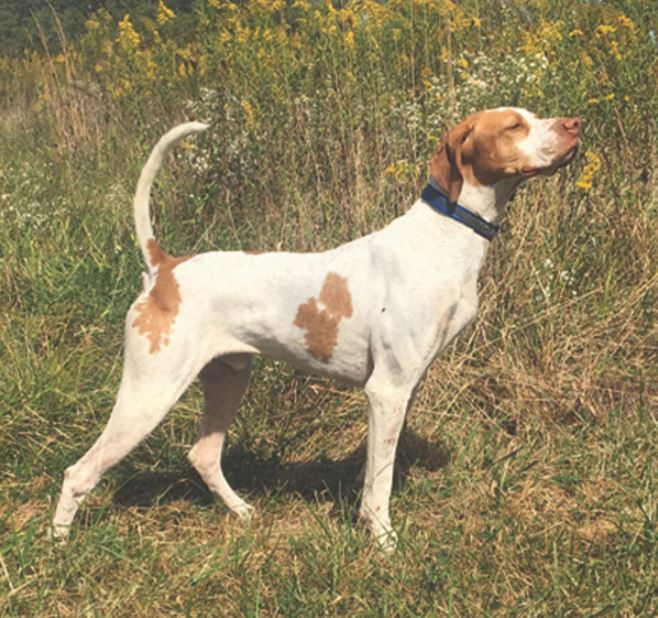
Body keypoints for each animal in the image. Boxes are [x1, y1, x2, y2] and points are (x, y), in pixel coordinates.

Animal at [53, 107, 580, 548]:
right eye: (514, 125)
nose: (574, 125)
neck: (444, 235)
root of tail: (164, 268)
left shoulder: (403, 389)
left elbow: (379, 466)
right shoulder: (387, 389)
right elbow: (379, 481)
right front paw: (383, 540)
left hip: (227, 380)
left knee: (202, 455)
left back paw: (242, 511)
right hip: (149, 393)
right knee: (78, 472)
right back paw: (59, 547)